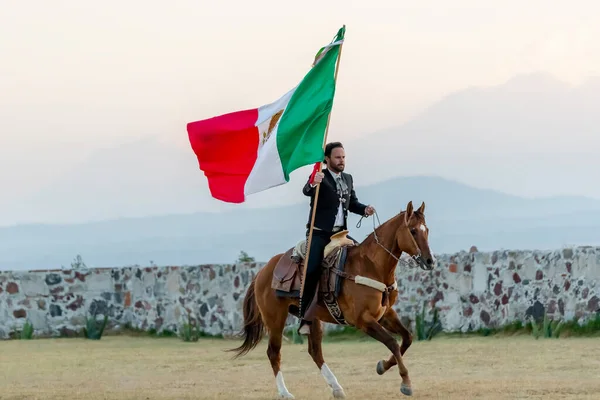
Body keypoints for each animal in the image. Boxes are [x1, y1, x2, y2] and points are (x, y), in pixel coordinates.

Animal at [229, 202, 432, 398]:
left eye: (426, 230)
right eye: (413, 230)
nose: (430, 261)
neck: (371, 266)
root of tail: (263, 271)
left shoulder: (385, 314)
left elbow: (407, 338)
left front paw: (382, 366)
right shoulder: (363, 320)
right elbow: (392, 343)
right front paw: (405, 383)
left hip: (312, 318)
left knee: (315, 351)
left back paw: (336, 387)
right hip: (275, 319)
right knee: (274, 352)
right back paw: (285, 393)